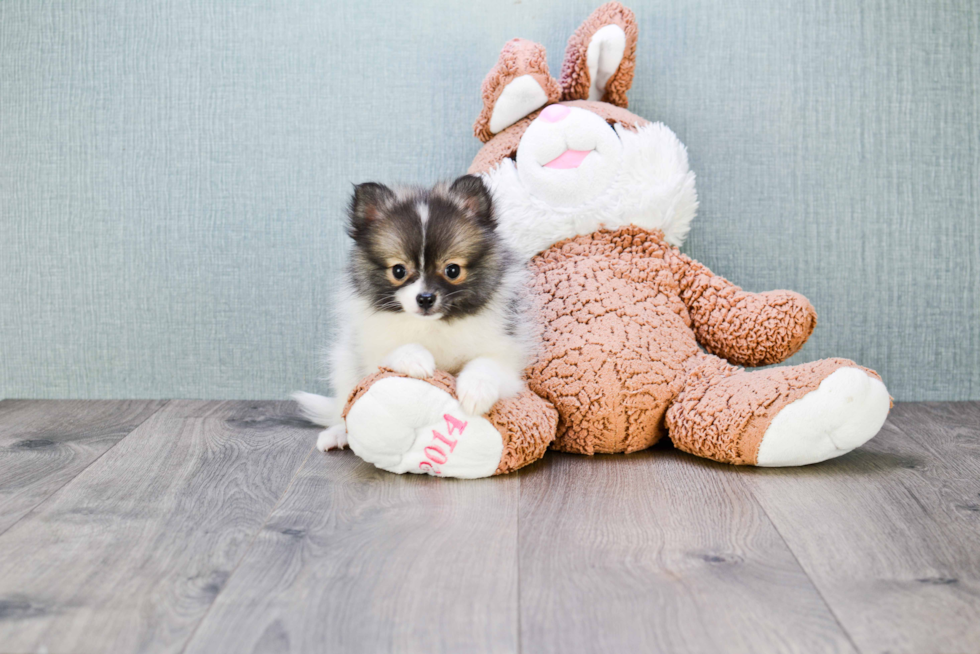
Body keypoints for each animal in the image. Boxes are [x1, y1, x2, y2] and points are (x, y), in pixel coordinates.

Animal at [294, 177, 532, 454]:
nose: (425, 298)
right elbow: (398, 350)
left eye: (452, 270)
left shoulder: (505, 357)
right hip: (343, 363)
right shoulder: (372, 352)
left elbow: (486, 365)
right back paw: (337, 433)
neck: (431, 325)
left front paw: (476, 392)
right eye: (398, 270)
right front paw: (417, 360)